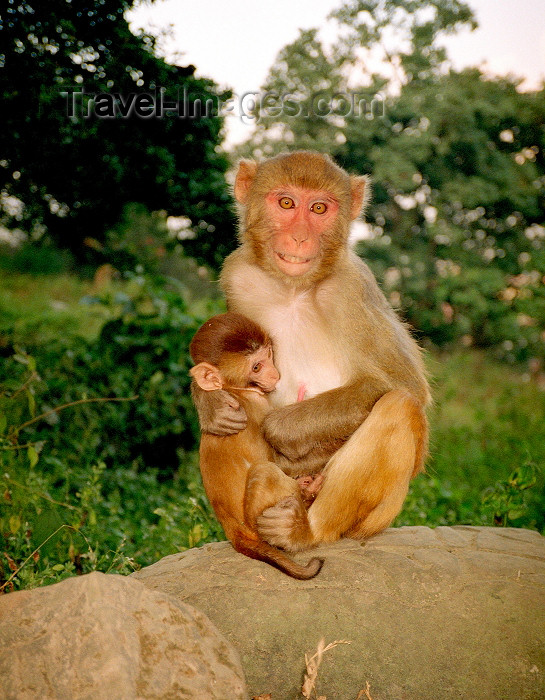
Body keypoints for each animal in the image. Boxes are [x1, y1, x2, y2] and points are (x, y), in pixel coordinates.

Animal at [189, 312, 324, 580]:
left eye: (268, 354)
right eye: (256, 367)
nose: (274, 374)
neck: (236, 391)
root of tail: (235, 535)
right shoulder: (257, 410)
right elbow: (279, 458)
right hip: (255, 521)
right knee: (265, 470)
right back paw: (305, 495)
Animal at [193, 150, 432, 548]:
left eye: (319, 208)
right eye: (287, 203)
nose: (300, 237)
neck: (295, 288)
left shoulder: (352, 288)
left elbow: (405, 385)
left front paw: (278, 433)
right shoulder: (238, 273)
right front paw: (210, 403)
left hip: (376, 519)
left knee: (400, 406)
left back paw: (304, 529)